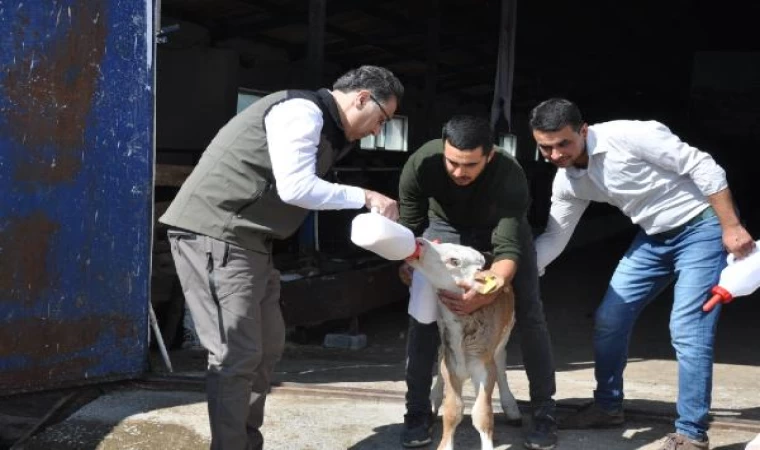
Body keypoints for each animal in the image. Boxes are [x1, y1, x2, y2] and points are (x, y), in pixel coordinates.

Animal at [406, 239, 520, 450]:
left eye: (454, 261)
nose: (420, 241)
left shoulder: (484, 365)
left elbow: (482, 413)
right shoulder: (450, 363)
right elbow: (453, 410)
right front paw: (445, 445)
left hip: (503, 339)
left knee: (501, 366)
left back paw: (511, 407)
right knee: (439, 356)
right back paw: (433, 400)